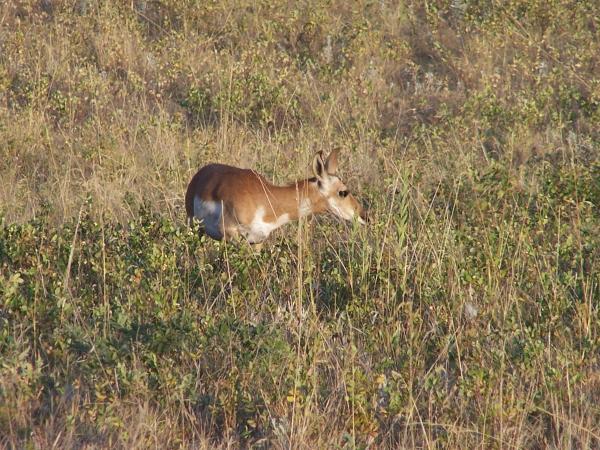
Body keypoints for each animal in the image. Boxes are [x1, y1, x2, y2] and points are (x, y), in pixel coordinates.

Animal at [185, 149, 368, 244]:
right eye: (343, 192)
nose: (364, 215)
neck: (267, 199)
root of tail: (202, 173)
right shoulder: (231, 235)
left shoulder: (257, 241)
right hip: (194, 228)